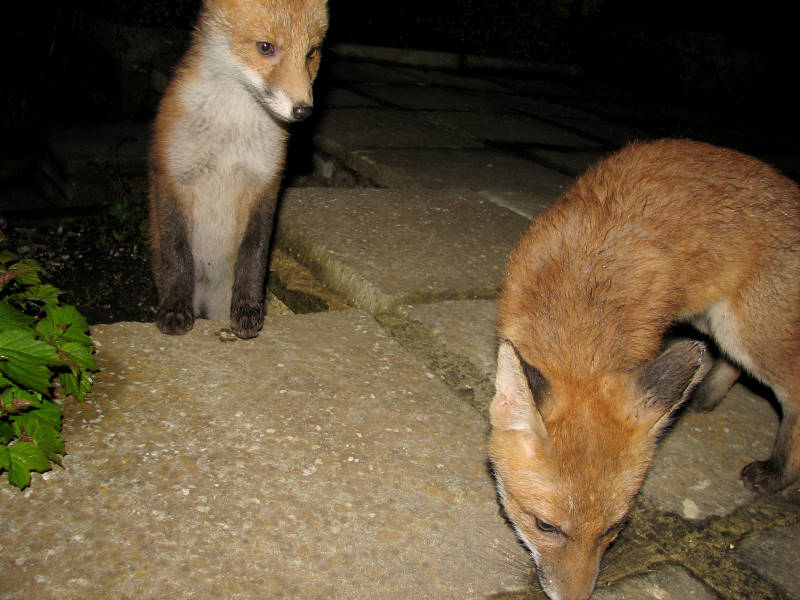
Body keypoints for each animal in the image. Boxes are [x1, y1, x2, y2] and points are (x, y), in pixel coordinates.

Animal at [148, 0, 328, 338]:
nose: (303, 110)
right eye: (266, 47)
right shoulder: (173, 175)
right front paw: (175, 309)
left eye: (311, 52)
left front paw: (248, 309)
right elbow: (178, 254)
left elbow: (253, 254)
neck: (231, 129)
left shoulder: (265, 182)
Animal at [489, 138, 800, 600]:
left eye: (613, 529)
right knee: (729, 363)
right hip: (716, 323)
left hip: (748, 331)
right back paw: (704, 395)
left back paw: (778, 473)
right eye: (545, 526)